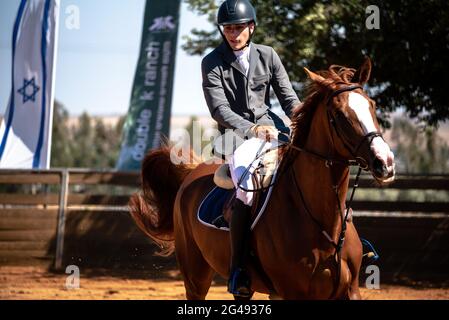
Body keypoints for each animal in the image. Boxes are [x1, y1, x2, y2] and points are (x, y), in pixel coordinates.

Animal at [129, 58, 392, 300]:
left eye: (372, 105)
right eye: (339, 114)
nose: (385, 162)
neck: (323, 222)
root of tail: (192, 172)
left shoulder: (349, 291)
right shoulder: (293, 293)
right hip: (195, 276)